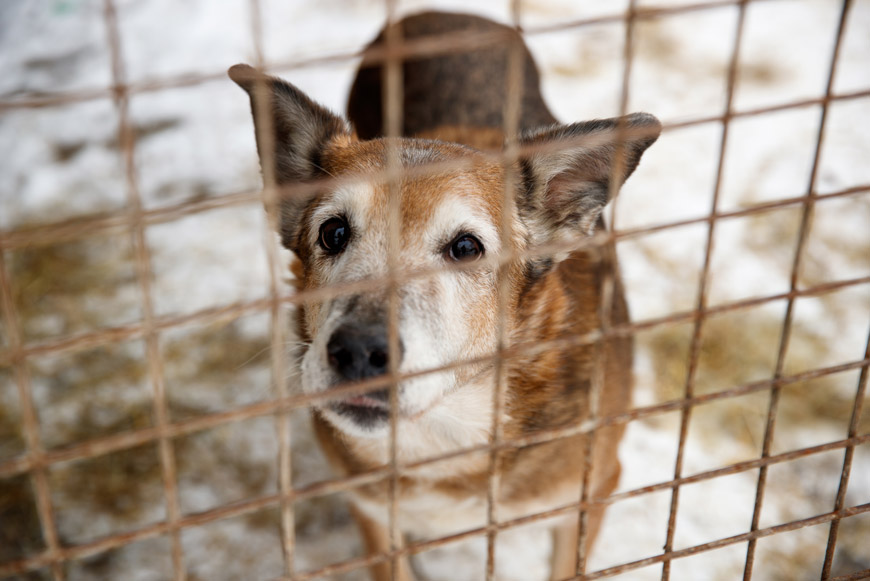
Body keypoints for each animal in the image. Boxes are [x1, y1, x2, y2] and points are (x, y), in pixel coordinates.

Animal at [230, 10, 660, 580]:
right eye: (333, 233)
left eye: (465, 247)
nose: (358, 352)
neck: (443, 431)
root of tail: (441, 12)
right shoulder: (371, 511)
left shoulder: (590, 492)